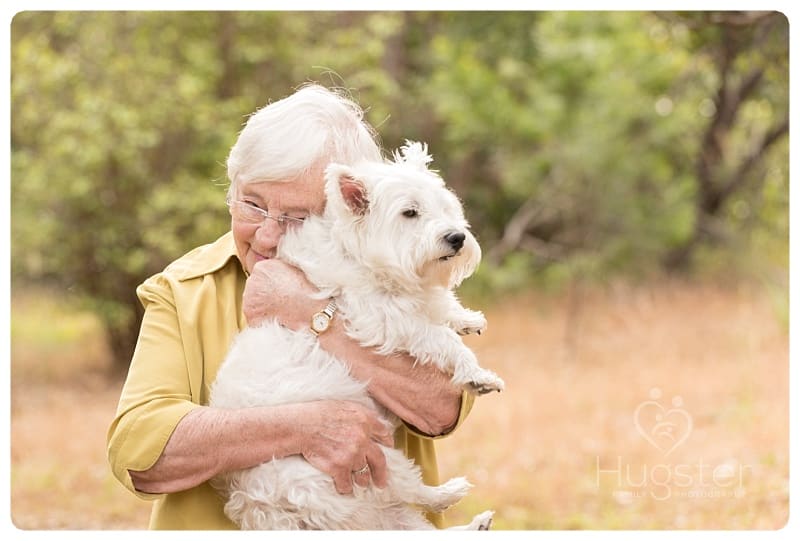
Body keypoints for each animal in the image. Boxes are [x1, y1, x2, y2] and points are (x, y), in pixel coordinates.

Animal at [209, 140, 504, 528]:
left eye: (445, 207)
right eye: (410, 213)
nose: (457, 237)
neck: (354, 251)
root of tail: (261, 505)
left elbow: (440, 306)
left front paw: (466, 317)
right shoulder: (386, 318)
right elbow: (441, 339)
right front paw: (476, 375)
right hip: (365, 448)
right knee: (410, 489)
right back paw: (450, 492)